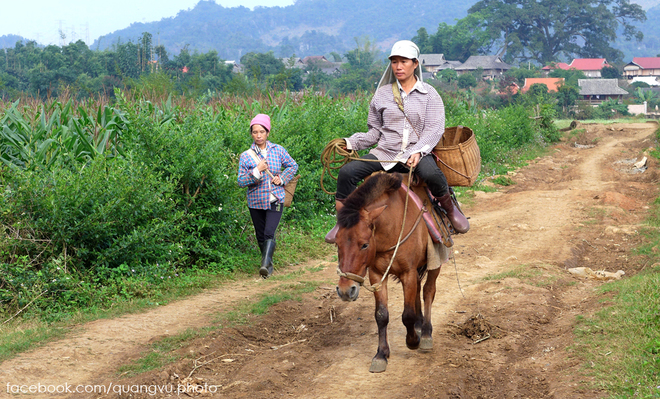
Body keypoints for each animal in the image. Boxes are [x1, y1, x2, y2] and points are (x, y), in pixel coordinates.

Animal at [338, 173, 440, 376]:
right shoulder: (377, 275)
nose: (345, 290)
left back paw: (425, 333)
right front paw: (381, 355)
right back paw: (419, 325)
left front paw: (412, 341)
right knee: (419, 290)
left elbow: (407, 314)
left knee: (428, 291)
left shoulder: (408, 273)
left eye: (364, 244)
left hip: (435, 261)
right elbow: (381, 315)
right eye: (336, 243)